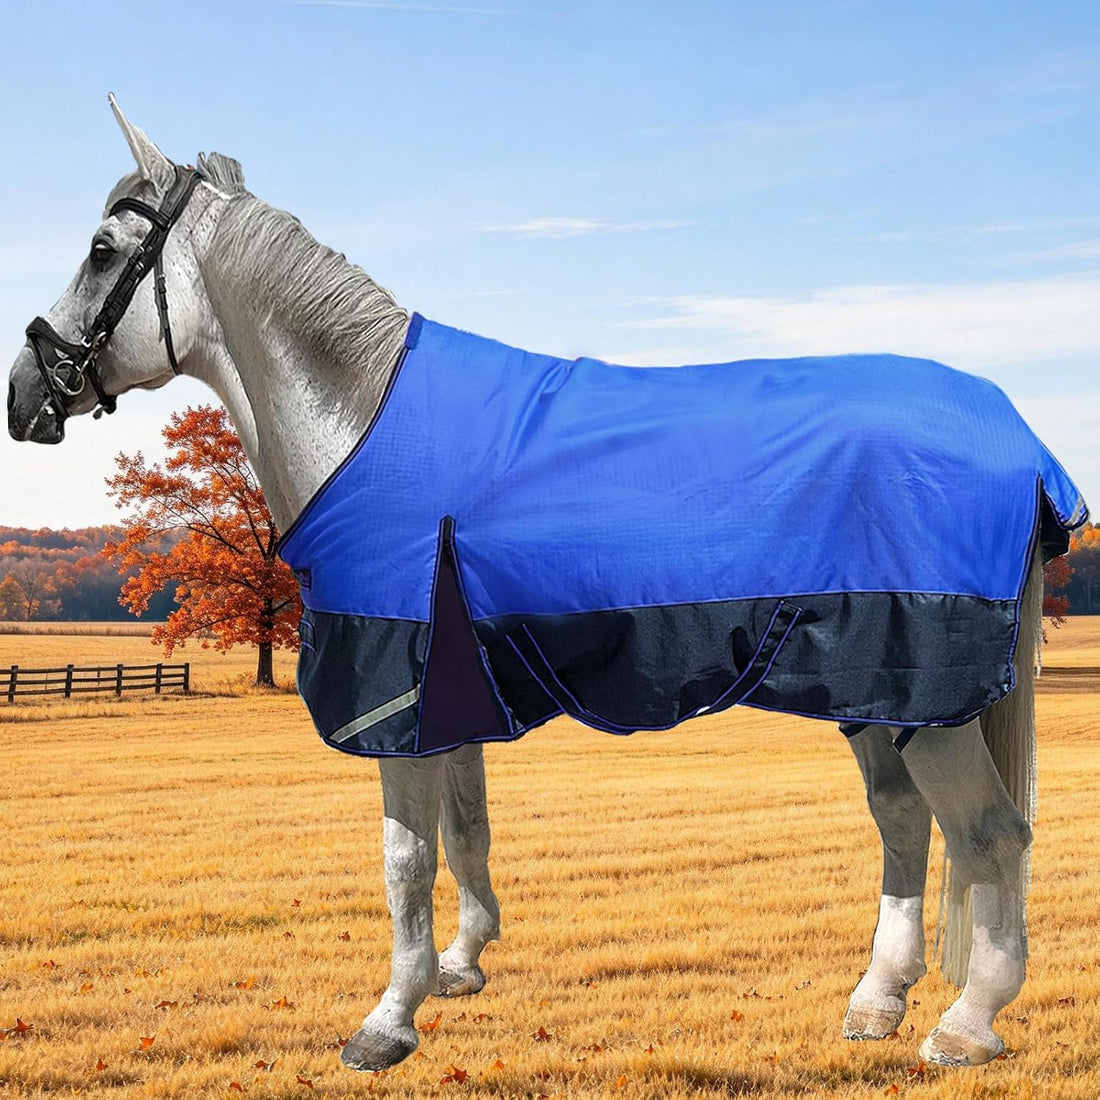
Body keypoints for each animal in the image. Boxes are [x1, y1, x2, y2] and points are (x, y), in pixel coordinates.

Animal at [7, 98, 1087, 1073]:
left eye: (101, 250)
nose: (23, 392)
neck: (361, 418)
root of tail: (1013, 434)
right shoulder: (449, 694)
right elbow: (467, 829)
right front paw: (459, 966)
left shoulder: (396, 692)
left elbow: (405, 859)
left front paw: (386, 1021)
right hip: (876, 695)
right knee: (904, 824)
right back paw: (876, 1000)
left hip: (931, 703)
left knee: (991, 834)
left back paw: (966, 1023)